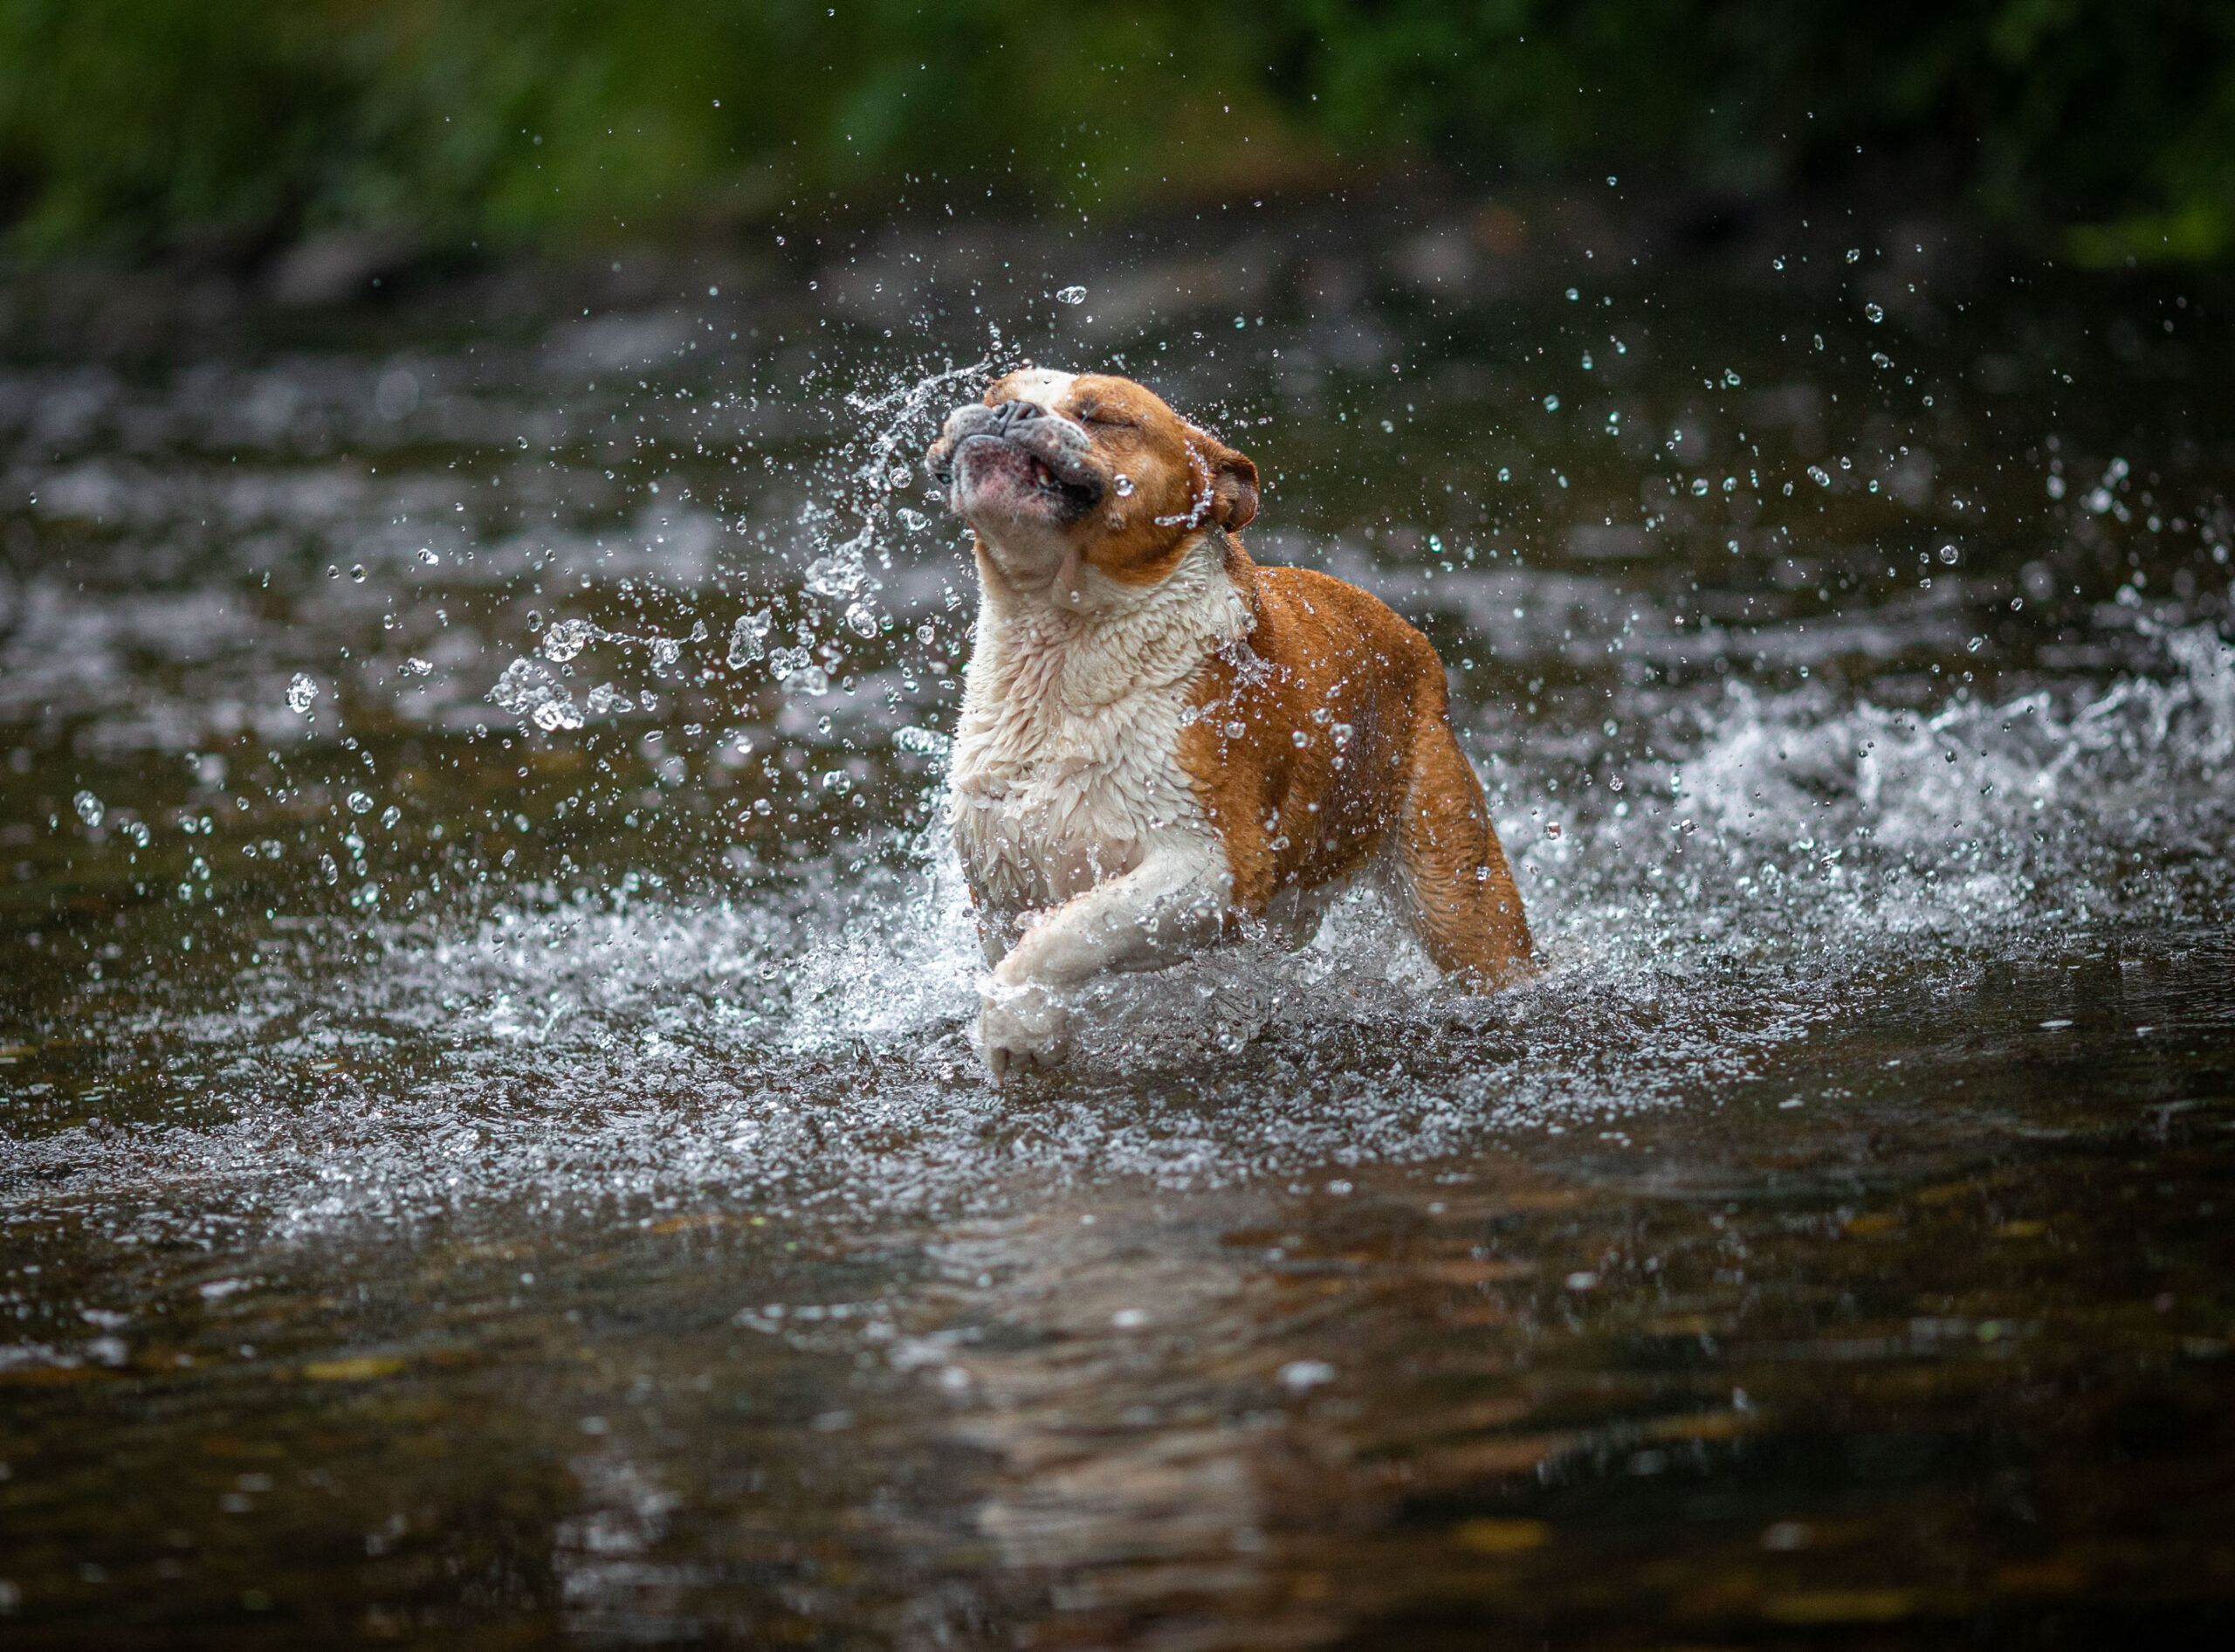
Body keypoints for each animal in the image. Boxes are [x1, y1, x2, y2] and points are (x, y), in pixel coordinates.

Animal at [925, 368, 1537, 1077]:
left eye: (1105, 418)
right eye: (995, 394)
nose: (1010, 413)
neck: (1060, 641)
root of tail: (1416, 643)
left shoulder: (1209, 869)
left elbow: (1065, 935)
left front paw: (1016, 1025)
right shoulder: (999, 883)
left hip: (1459, 898)